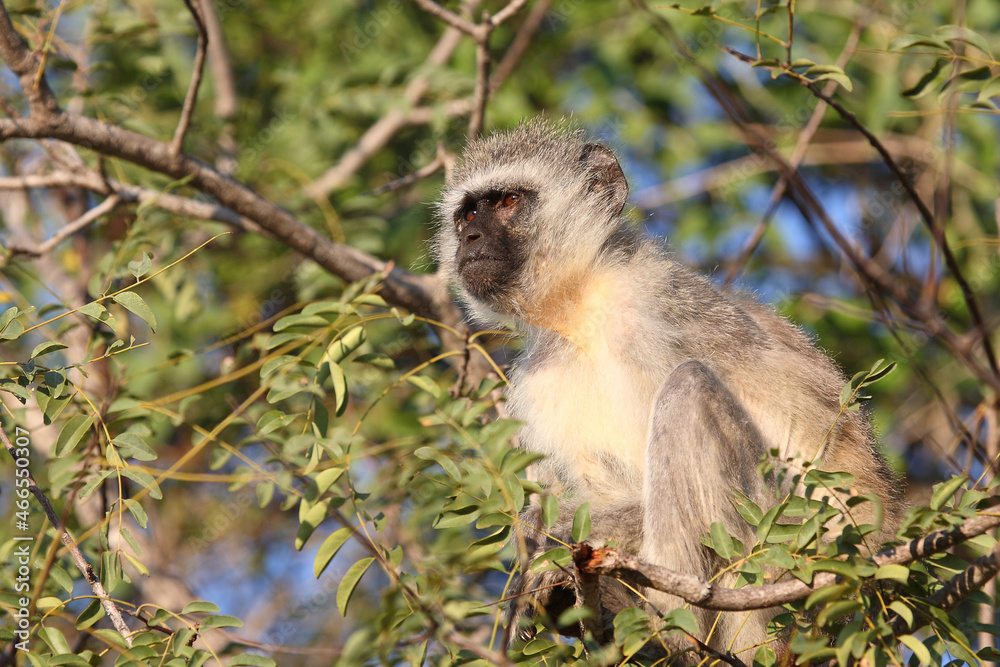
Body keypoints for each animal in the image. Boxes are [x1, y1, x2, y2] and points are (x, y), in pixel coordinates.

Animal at [434, 120, 903, 663]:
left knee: (688, 390)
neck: (582, 310)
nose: (469, 237)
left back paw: (672, 631)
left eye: (508, 201)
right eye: (468, 213)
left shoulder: (652, 315)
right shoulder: (536, 381)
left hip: (777, 561)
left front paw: (544, 541)